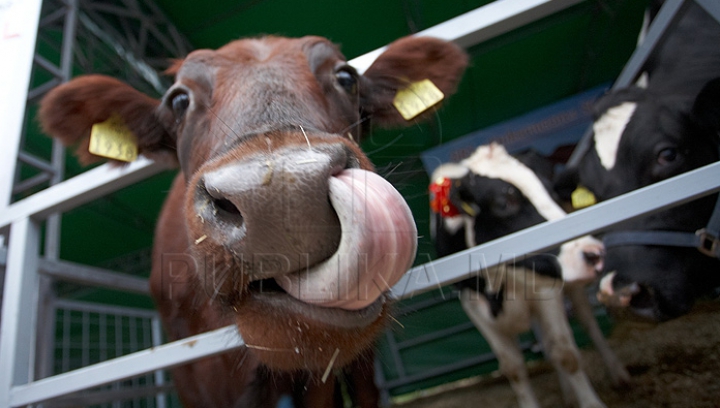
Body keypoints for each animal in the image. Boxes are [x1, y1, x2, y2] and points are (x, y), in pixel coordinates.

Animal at [430, 143, 628, 408]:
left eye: (552, 192)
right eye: (503, 203)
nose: (593, 254)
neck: (499, 283)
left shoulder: (547, 291)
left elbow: (566, 353)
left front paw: (591, 403)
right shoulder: (475, 309)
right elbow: (514, 368)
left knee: (588, 324)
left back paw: (617, 373)